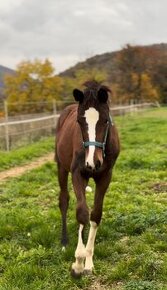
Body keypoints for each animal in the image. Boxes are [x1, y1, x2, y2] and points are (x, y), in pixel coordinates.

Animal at [55, 80, 120, 278]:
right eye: (79, 121)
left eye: (105, 120)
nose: (93, 162)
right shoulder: (78, 174)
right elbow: (82, 213)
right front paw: (77, 263)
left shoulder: (105, 176)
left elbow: (95, 215)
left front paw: (88, 261)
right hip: (61, 167)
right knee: (64, 200)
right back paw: (64, 241)